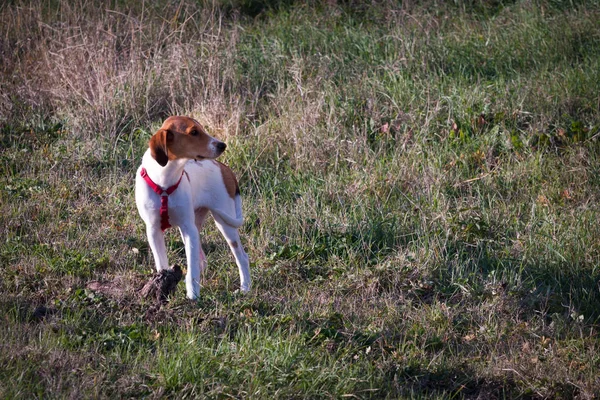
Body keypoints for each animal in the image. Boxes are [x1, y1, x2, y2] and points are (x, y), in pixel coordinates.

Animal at [135, 114, 250, 298]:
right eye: (194, 132)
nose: (222, 145)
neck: (165, 181)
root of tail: (224, 168)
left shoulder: (188, 228)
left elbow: (192, 268)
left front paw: (193, 296)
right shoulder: (153, 230)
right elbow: (162, 264)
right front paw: (162, 286)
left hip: (223, 223)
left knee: (241, 257)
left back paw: (245, 287)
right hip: (197, 224)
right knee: (202, 260)